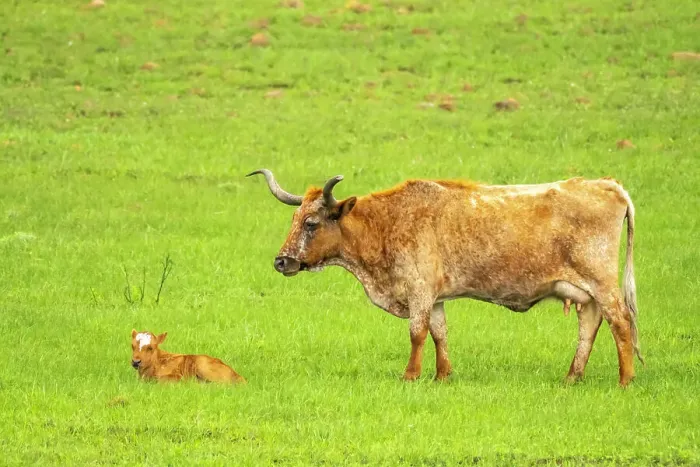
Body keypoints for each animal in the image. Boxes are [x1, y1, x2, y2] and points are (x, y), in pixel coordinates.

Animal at [247, 169, 644, 387]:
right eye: (294, 219)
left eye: (311, 223)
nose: (281, 261)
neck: (387, 223)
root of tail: (608, 185)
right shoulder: (435, 297)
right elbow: (439, 333)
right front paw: (442, 376)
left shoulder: (420, 291)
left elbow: (417, 333)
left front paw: (410, 375)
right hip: (584, 292)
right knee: (589, 327)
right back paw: (571, 378)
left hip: (603, 284)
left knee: (621, 323)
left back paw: (625, 381)